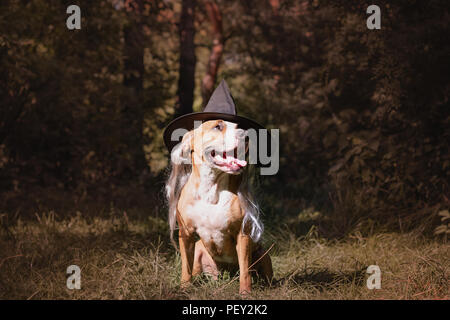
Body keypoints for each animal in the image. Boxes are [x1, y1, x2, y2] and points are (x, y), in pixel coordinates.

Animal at [164, 119, 270, 294]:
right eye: (218, 126)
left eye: (238, 126)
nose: (246, 135)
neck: (210, 188)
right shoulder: (186, 234)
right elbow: (186, 266)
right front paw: (184, 288)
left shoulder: (242, 234)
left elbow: (245, 270)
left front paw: (245, 292)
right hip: (199, 250)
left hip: (262, 253)